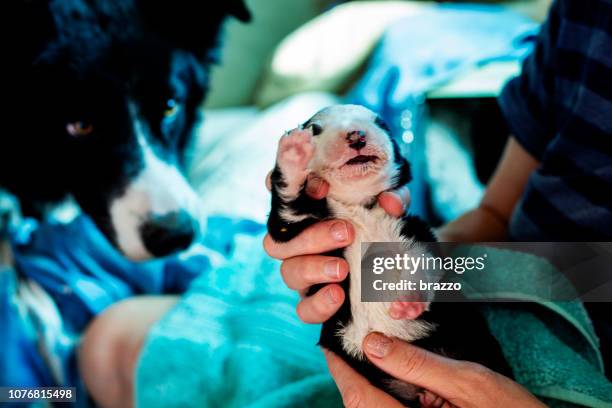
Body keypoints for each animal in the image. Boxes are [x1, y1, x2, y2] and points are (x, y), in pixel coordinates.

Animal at [268, 105, 512, 404]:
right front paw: (292, 152)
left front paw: (408, 300)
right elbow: (286, 212)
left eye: (379, 123)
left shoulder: (412, 229)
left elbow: (422, 258)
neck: (358, 207)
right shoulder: (301, 223)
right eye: (315, 128)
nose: (356, 135)